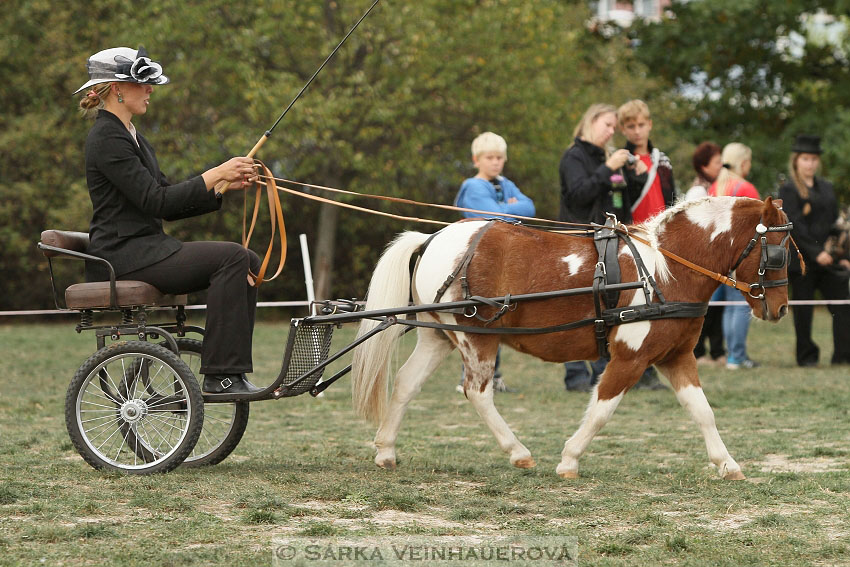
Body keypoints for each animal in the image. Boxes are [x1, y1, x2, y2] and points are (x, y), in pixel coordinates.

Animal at [350, 197, 788, 482]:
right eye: (779, 252)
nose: (781, 308)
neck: (664, 269)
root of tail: (432, 239)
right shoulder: (629, 359)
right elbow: (601, 411)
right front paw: (569, 460)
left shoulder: (675, 356)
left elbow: (702, 411)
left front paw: (727, 464)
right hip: (477, 336)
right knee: (477, 391)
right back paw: (518, 453)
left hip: (440, 336)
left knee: (406, 383)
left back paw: (386, 450)